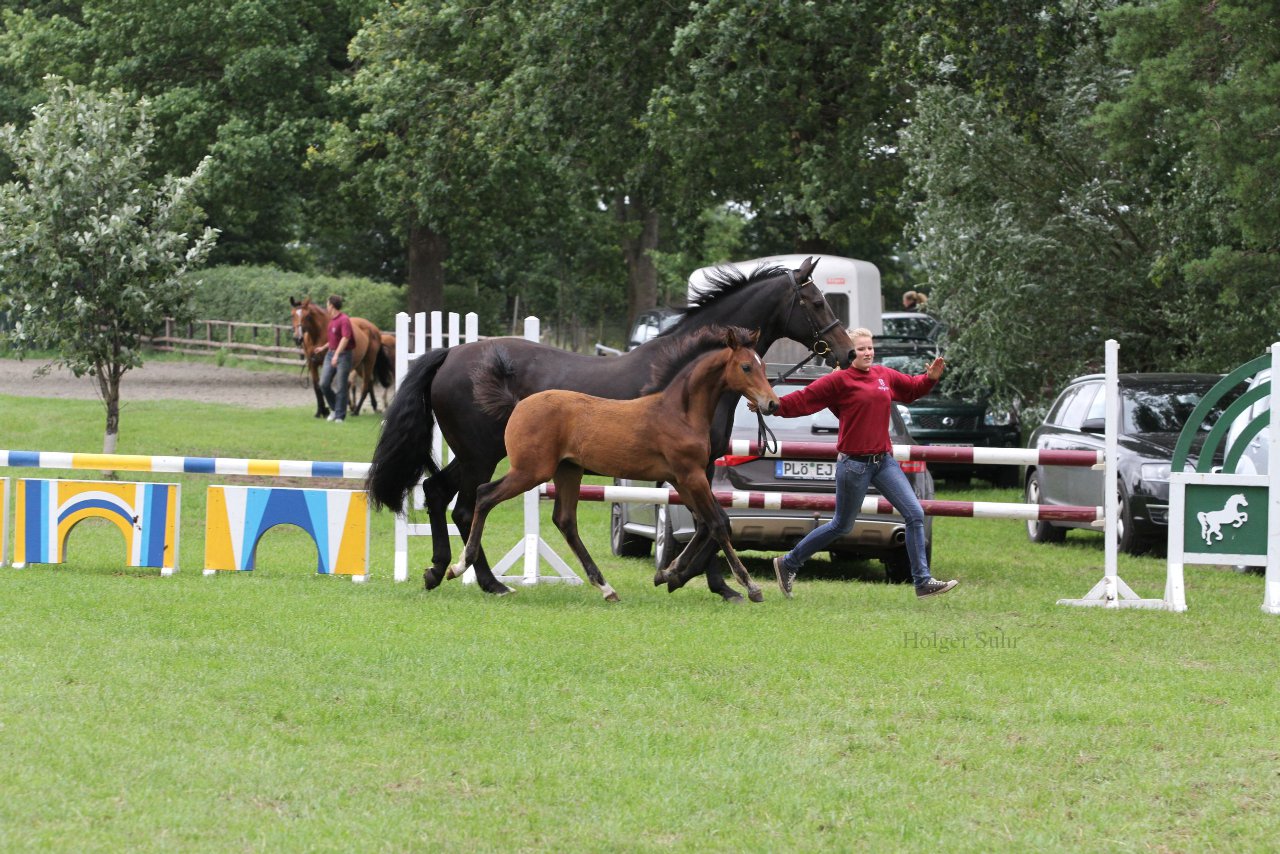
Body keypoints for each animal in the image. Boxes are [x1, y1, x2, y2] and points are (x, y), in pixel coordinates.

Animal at [455, 325, 783, 601]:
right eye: (746, 366)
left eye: (764, 365)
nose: (772, 403)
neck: (679, 412)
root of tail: (518, 405)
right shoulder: (691, 475)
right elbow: (716, 524)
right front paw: (750, 586)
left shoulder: (681, 479)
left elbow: (705, 523)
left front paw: (668, 574)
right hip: (531, 471)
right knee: (485, 495)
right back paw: (461, 567)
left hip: (567, 471)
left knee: (565, 520)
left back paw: (606, 588)